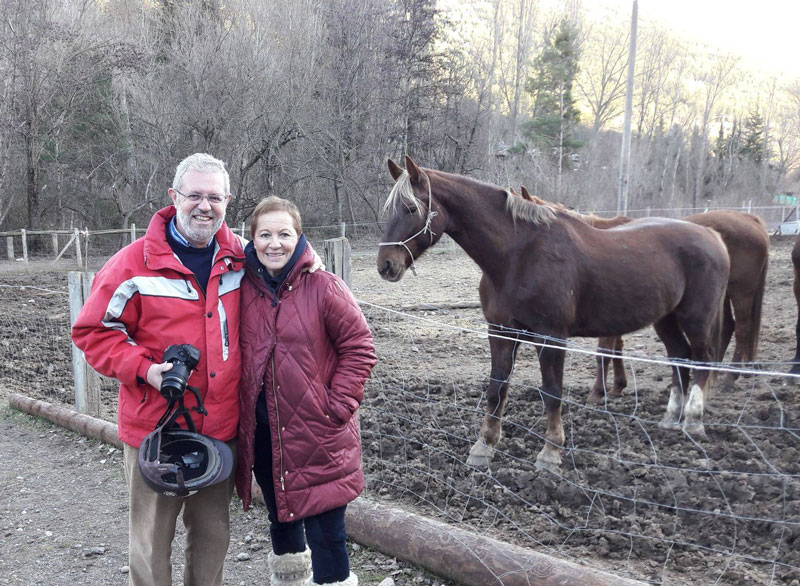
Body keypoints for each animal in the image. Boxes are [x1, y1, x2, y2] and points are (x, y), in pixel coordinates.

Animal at [380, 157, 732, 468]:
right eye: (389, 210)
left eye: (410, 208)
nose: (386, 265)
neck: (518, 256)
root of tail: (712, 235)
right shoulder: (501, 332)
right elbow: (497, 388)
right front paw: (484, 448)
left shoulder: (551, 337)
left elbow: (551, 393)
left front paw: (550, 453)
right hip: (666, 319)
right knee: (679, 357)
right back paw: (672, 419)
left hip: (696, 318)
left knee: (701, 359)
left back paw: (693, 421)